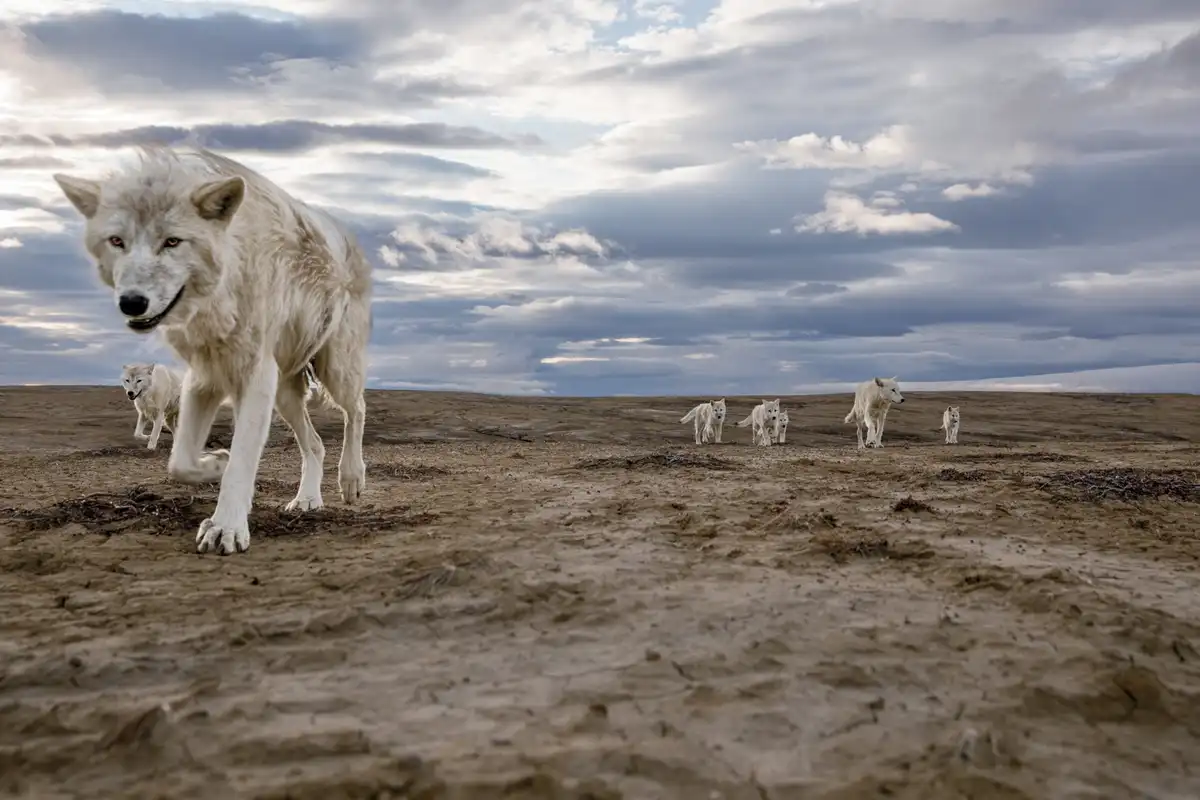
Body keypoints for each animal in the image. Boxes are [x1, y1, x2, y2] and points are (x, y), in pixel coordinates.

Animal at [55, 146, 373, 556]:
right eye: (117, 241)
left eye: (172, 242)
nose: (132, 302)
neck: (220, 295)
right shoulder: (204, 378)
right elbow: (180, 462)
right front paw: (216, 462)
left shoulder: (254, 376)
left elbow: (242, 462)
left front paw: (226, 528)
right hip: (285, 395)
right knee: (315, 445)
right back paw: (306, 500)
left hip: (335, 370)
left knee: (357, 409)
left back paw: (351, 477)